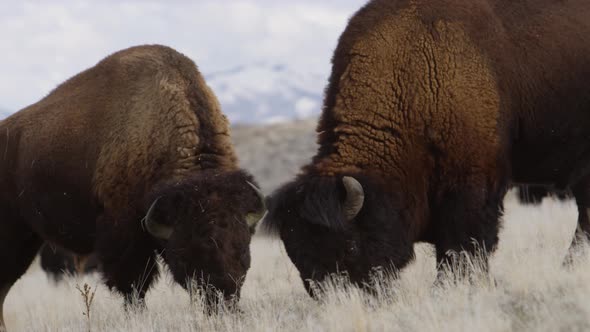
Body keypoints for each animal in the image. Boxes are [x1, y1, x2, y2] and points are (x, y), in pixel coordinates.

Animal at [0, 43, 266, 326]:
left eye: (243, 249)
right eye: (187, 253)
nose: (222, 304)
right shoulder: (125, 237)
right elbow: (134, 286)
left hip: (28, 238)